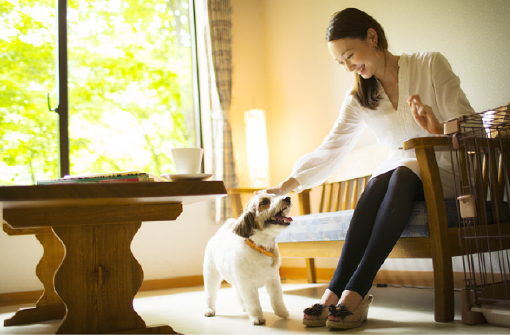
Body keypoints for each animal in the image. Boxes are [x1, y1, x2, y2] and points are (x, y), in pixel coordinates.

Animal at [202, 194, 292, 326]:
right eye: (264, 202)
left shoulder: (273, 280)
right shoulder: (248, 285)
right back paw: (209, 309)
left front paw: (282, 312)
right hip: (211, 275)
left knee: (237, 292)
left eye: (275, 196)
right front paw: (257, 318)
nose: (287, 198)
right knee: (210, 294)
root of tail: (219, 234)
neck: (260, 247)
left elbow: (277, 299)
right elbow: (253, 303)